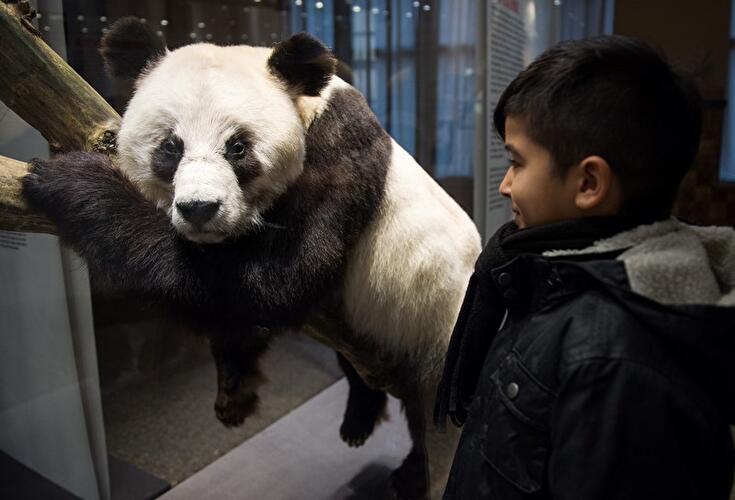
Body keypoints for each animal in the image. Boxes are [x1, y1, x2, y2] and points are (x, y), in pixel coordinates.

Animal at [23, 18, 481, 500]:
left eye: (238, 147)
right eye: (170, 147)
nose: (200, 208)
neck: (310, 105)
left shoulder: (342, 146)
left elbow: (273, 282)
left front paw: (69, 179)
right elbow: (236, 311)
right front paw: (234, 389)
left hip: (436, 334)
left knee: (426, 417)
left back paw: (410, 472)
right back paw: (360, 414)